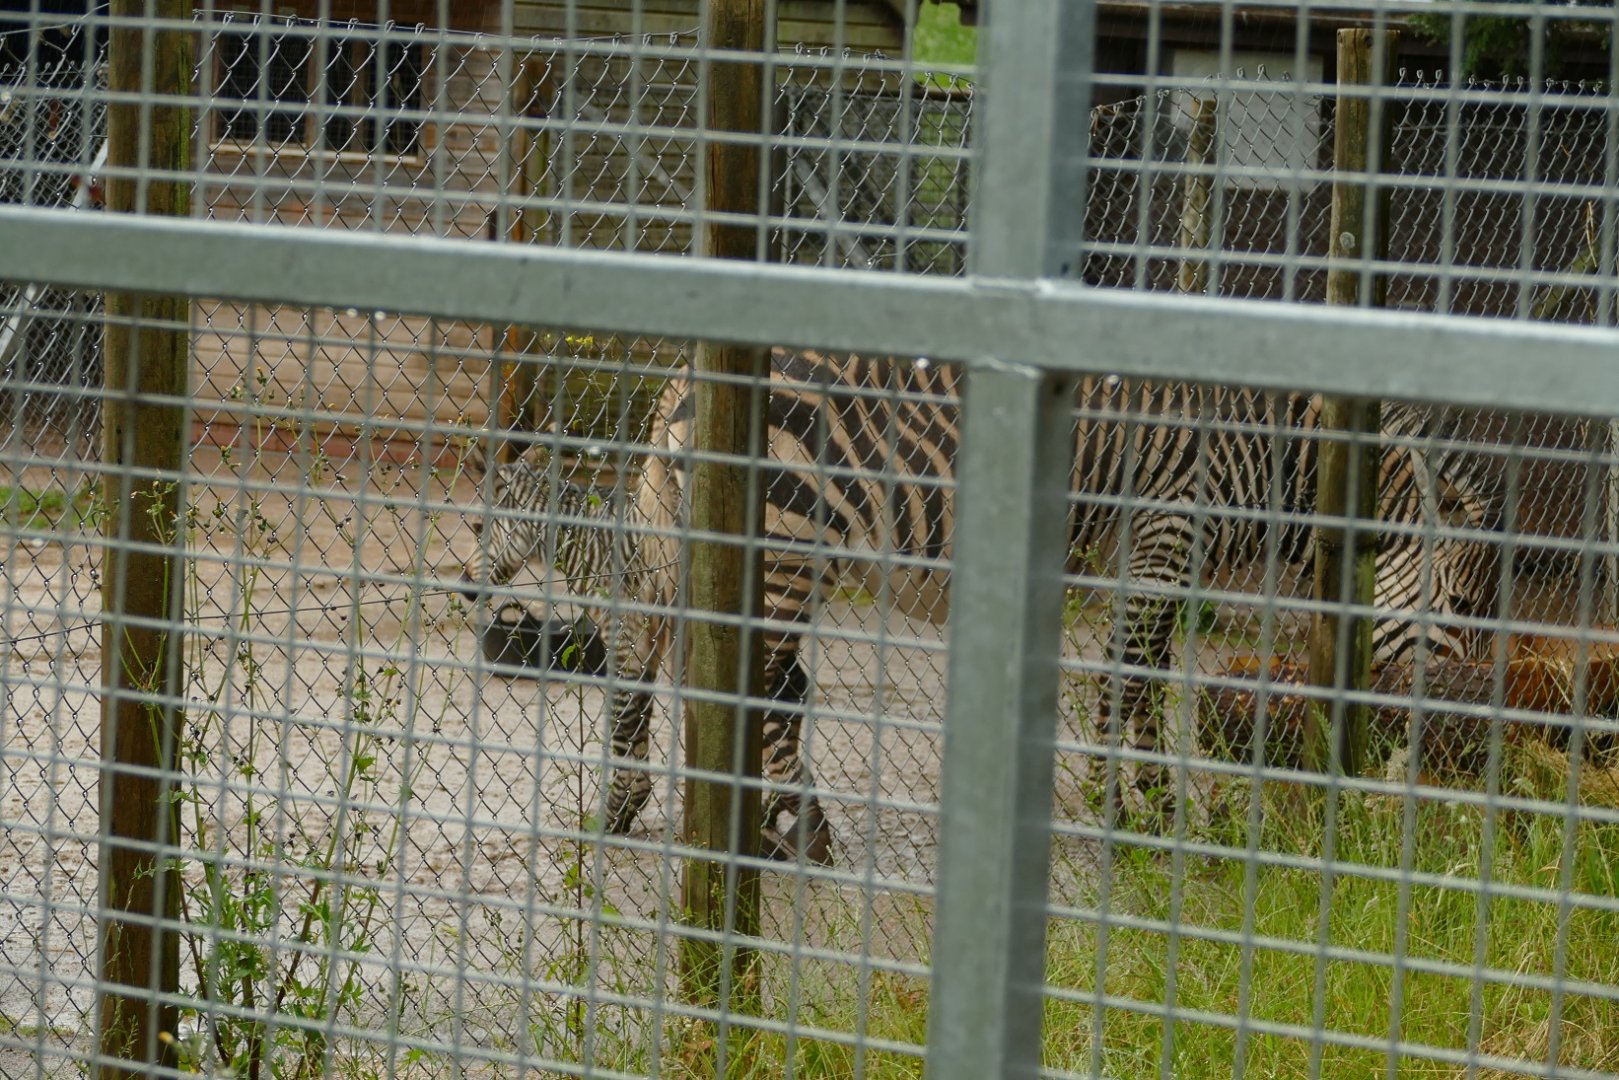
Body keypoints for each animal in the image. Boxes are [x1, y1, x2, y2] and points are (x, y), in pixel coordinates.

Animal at [459, 349, 1502, 855]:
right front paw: (1135, 823)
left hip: (685, 540)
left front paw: (1166, 810)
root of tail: (683, 384)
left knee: (651, 664)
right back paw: (783, 830)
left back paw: (642, 809)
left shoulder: (1147, 554)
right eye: (1462, 604)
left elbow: (1148, 686)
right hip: (784, 545)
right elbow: (1127, 685)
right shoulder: (1165, 532)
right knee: (753, 684)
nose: (1464, 732)